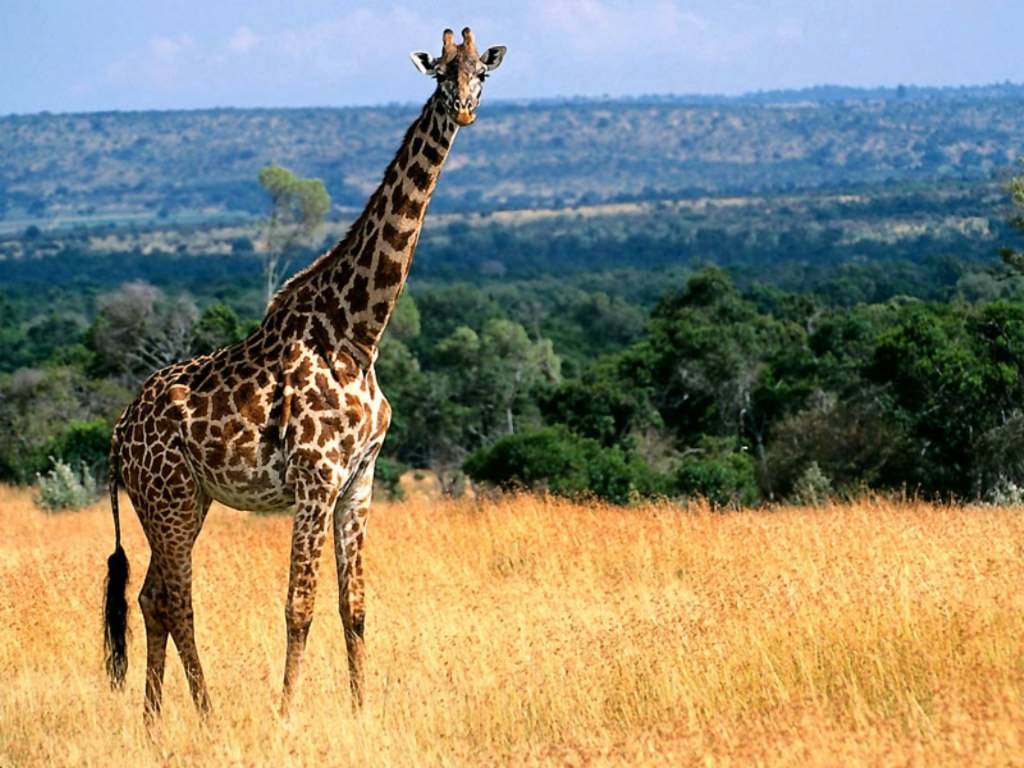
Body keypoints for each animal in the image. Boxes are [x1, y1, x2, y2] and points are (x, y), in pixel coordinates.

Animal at [101, 27, 507, 722]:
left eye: (481, 71)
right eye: (439, 73)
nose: (462, 110)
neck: (359, 335)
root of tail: (118, 435)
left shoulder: (359, 481)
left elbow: (355, 606)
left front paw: (362, 709)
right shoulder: (316, 481)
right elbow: (299, 606)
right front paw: (285, 714)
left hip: (185, 500)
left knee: (152, 596)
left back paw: (155, 721)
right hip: (169, 498)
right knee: (176, 599)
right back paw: (207, 714)